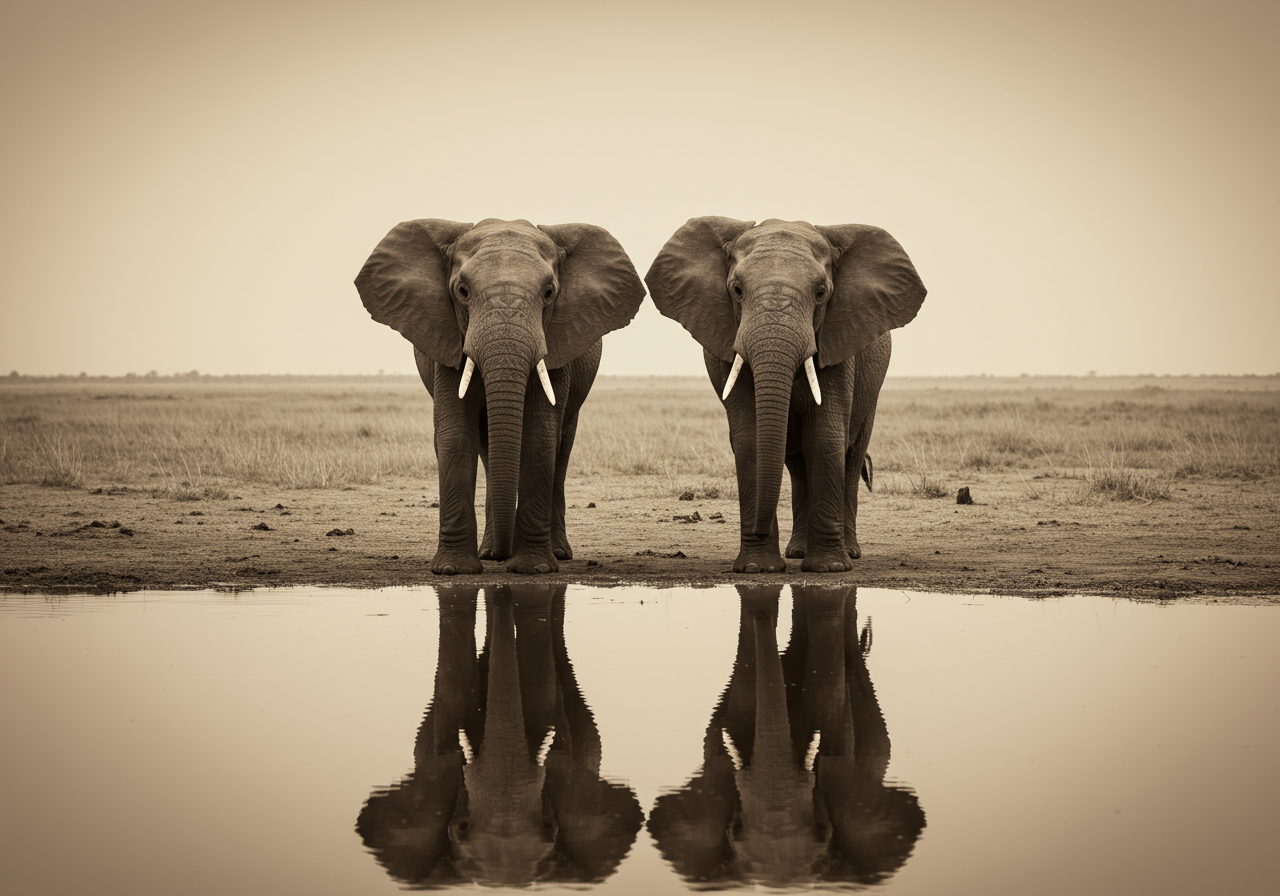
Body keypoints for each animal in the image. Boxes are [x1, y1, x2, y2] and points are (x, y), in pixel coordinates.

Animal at [356, 218, 645, 574]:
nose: (506, 556)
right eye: (462, 291)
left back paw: (554, 553)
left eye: (549, 293)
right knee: (488, 448)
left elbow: (539, 437)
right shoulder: (448, 343)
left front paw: (533, 569)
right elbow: (455, 437)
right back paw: (491, 553)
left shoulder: (557, 346)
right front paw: (454, 570)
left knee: (561, 450)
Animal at [646, 218, 926, 572]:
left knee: (851, 454)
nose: (759, 529)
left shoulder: (838, 341)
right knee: (797, 463)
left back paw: (848, 553)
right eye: (736, 290)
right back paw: (796, 552)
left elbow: (824, 437)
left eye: (821, 293)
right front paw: (758, 568)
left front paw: (828, 569)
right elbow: (751, 438)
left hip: (871, 389)